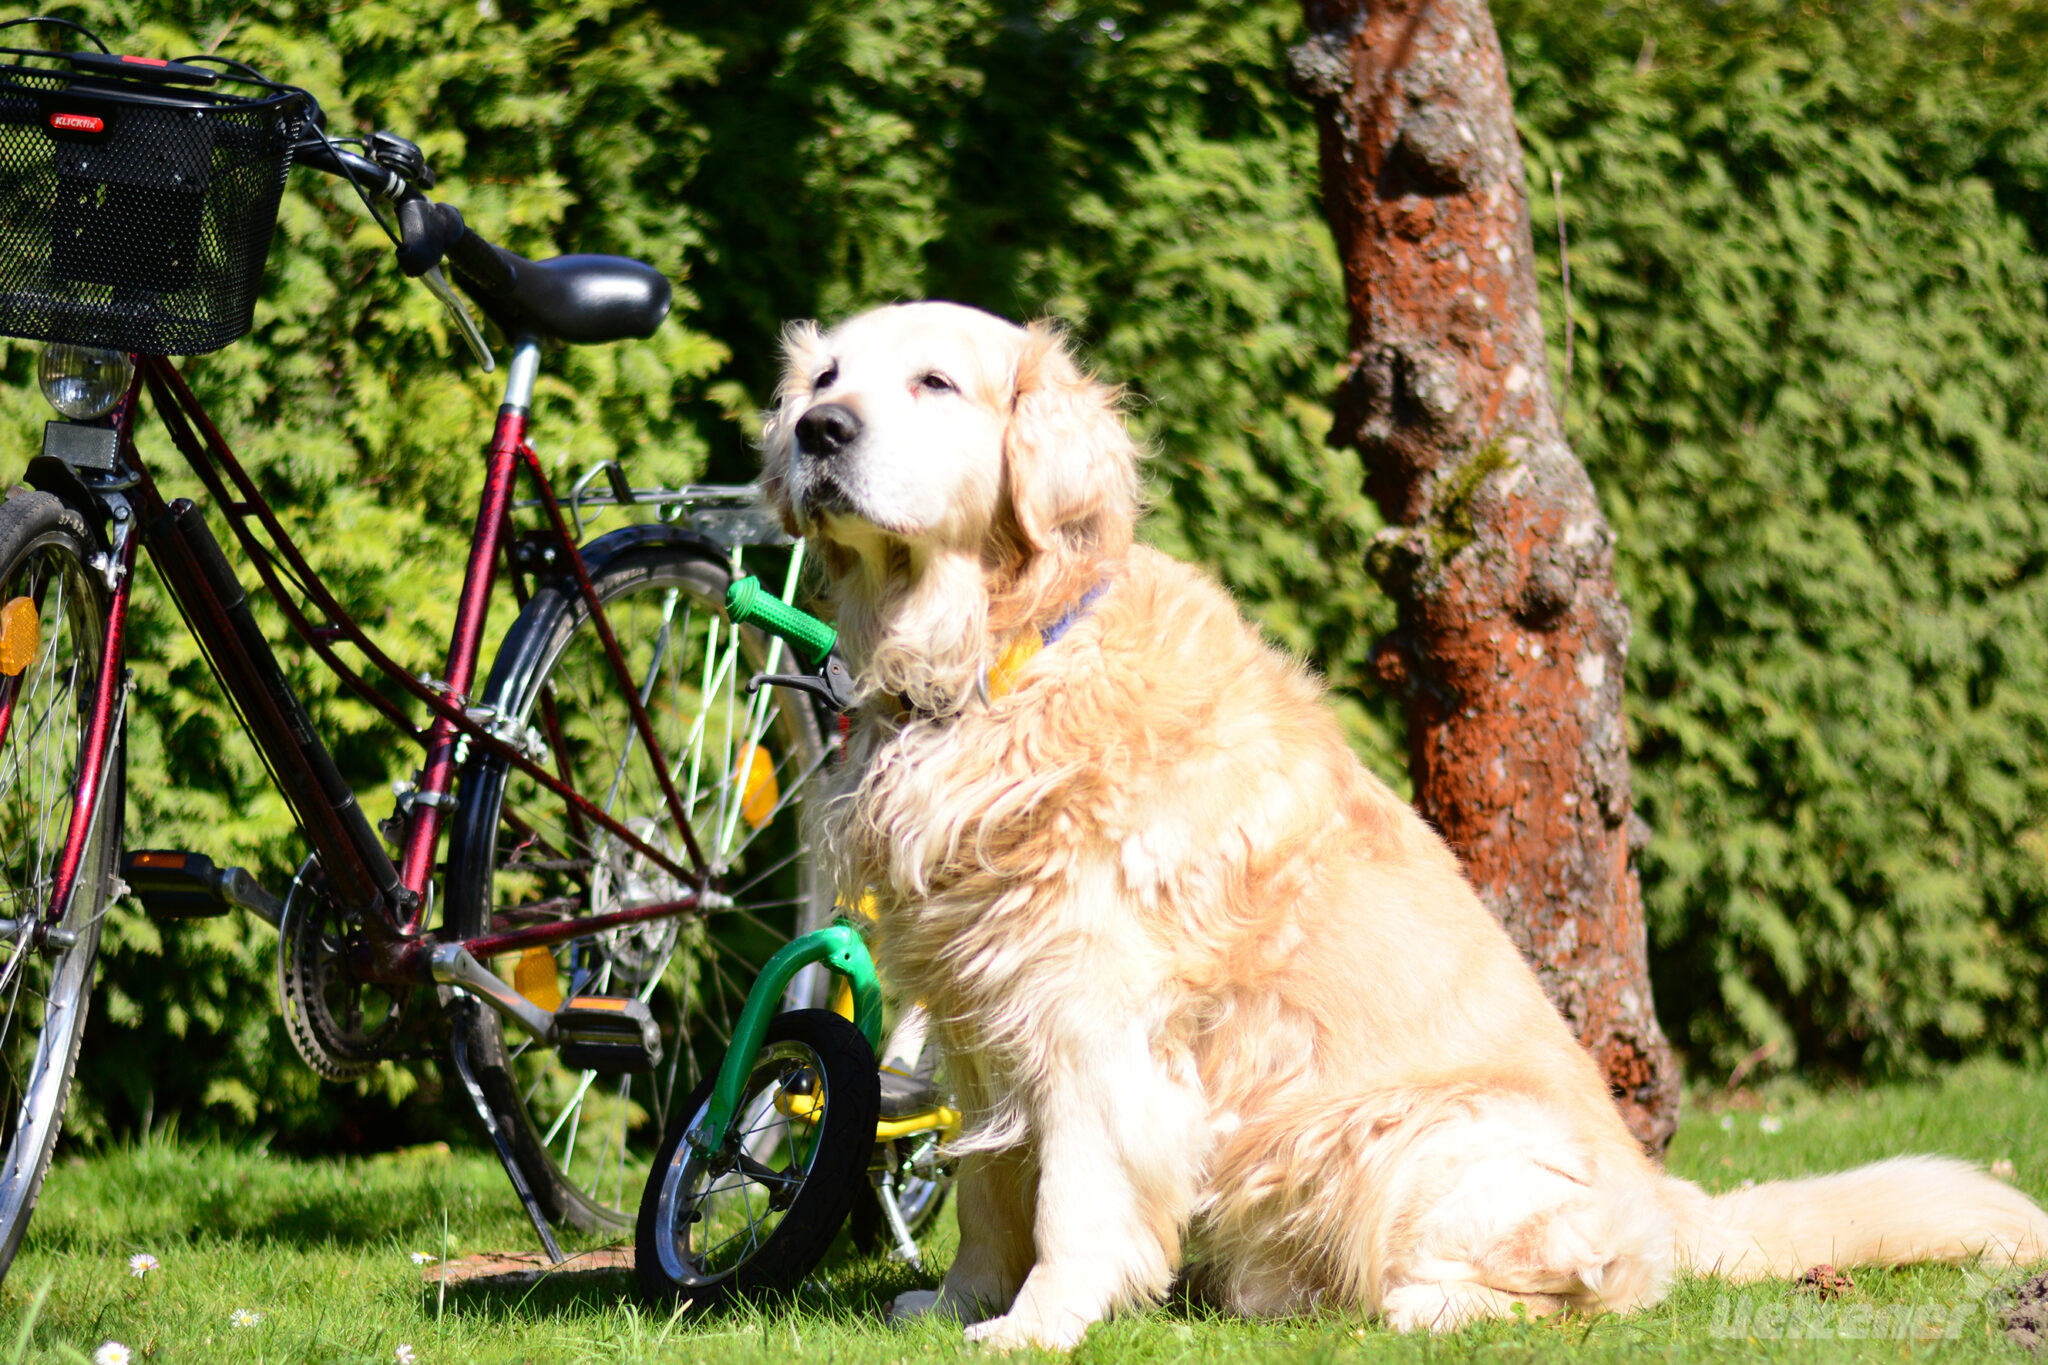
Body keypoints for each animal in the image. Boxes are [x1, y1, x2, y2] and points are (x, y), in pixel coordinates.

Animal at [757, 298, 2048, 1342]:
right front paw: (957, 1302)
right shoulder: (978, 1003)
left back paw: (1416, 1304)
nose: (817, 435)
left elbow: (1074, 1192)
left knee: (1589, 1288)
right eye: (825, 379)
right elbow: (985, 1184)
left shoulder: (1094, 1009)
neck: (991, 662)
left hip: (1404, 1138)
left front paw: (1036, 1325)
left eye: (934, 383)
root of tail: (1662, 1198)